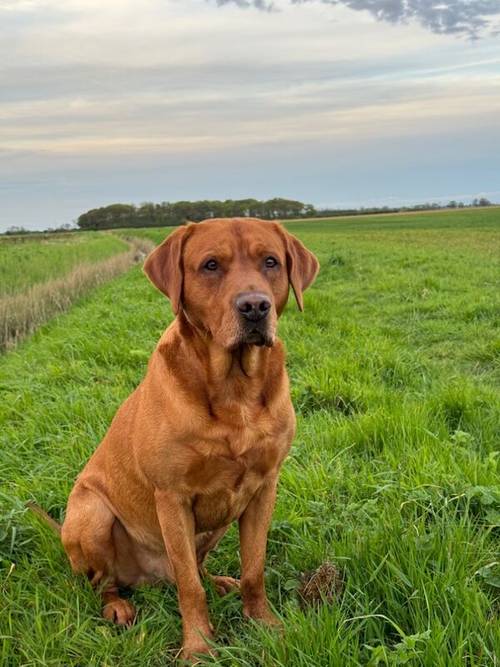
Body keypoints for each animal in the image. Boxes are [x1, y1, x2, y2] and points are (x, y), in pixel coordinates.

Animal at [52, 217, 316, 660]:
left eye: (270, 262)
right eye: (210, 265)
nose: (254, 306)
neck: (234, 388)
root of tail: (149, 579)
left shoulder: (264, 488)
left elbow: (254, 569)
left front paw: (264, 624)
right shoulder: (172, 497)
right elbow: (190, 588)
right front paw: (198, 646)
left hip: (219, 522)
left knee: (197, 567)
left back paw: (220, 582)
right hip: (91, 514)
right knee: (110, 582)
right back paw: (118, 606)